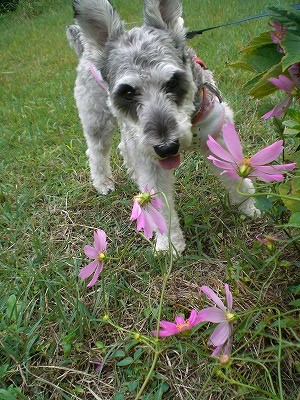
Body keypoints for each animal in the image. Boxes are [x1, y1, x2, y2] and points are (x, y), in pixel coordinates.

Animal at [67, 0, 258, 253]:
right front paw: (169, 245)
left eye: (173, 82)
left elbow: (235, 176)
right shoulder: (152, 163)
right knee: (97, 151)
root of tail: (85, 48)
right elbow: (160, 206)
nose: (167, 147)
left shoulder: (218, 135)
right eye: (128, 92)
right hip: (99, 120)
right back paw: (103, 182)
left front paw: (249, 206)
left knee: (124, 146)